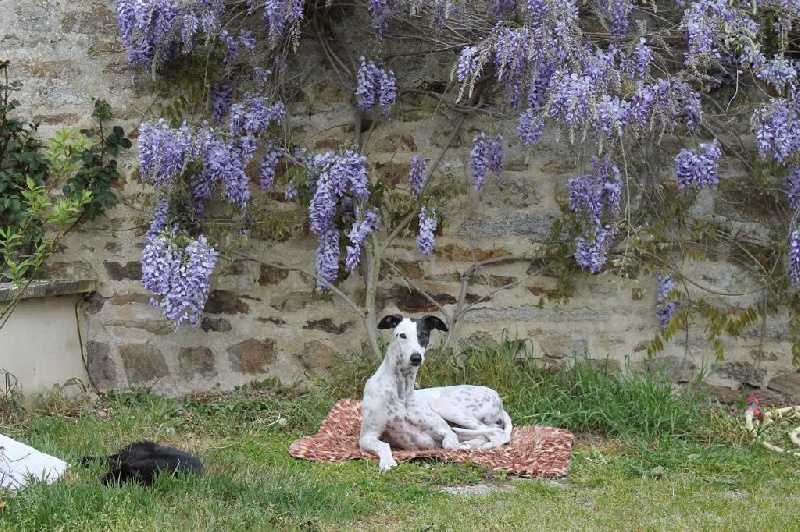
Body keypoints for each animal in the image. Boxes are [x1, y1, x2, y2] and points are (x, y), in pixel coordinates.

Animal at [358, 314, 510, 472]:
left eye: (424, 334)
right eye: (402, 335)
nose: (416, 357)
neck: (401, 391)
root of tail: (498, 398)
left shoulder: (443, 428)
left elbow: (450, 442)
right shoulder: (367, 436)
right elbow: (383, 445)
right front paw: (387, 462)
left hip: (449, 409)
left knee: (494, 432)